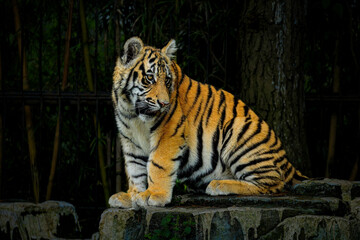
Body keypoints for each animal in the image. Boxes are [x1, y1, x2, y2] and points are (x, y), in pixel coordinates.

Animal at [107, 36, 306, 208]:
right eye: (150, 78)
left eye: (168, 81)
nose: (164, 103)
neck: (133, 113)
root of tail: (287, 162)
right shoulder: (129, 140)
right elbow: (134, 169)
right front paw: (132, 196)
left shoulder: (169, 133)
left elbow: (158, 164)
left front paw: (153, 195)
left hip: (239, 130)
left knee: (273, 182)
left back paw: (219, 185)